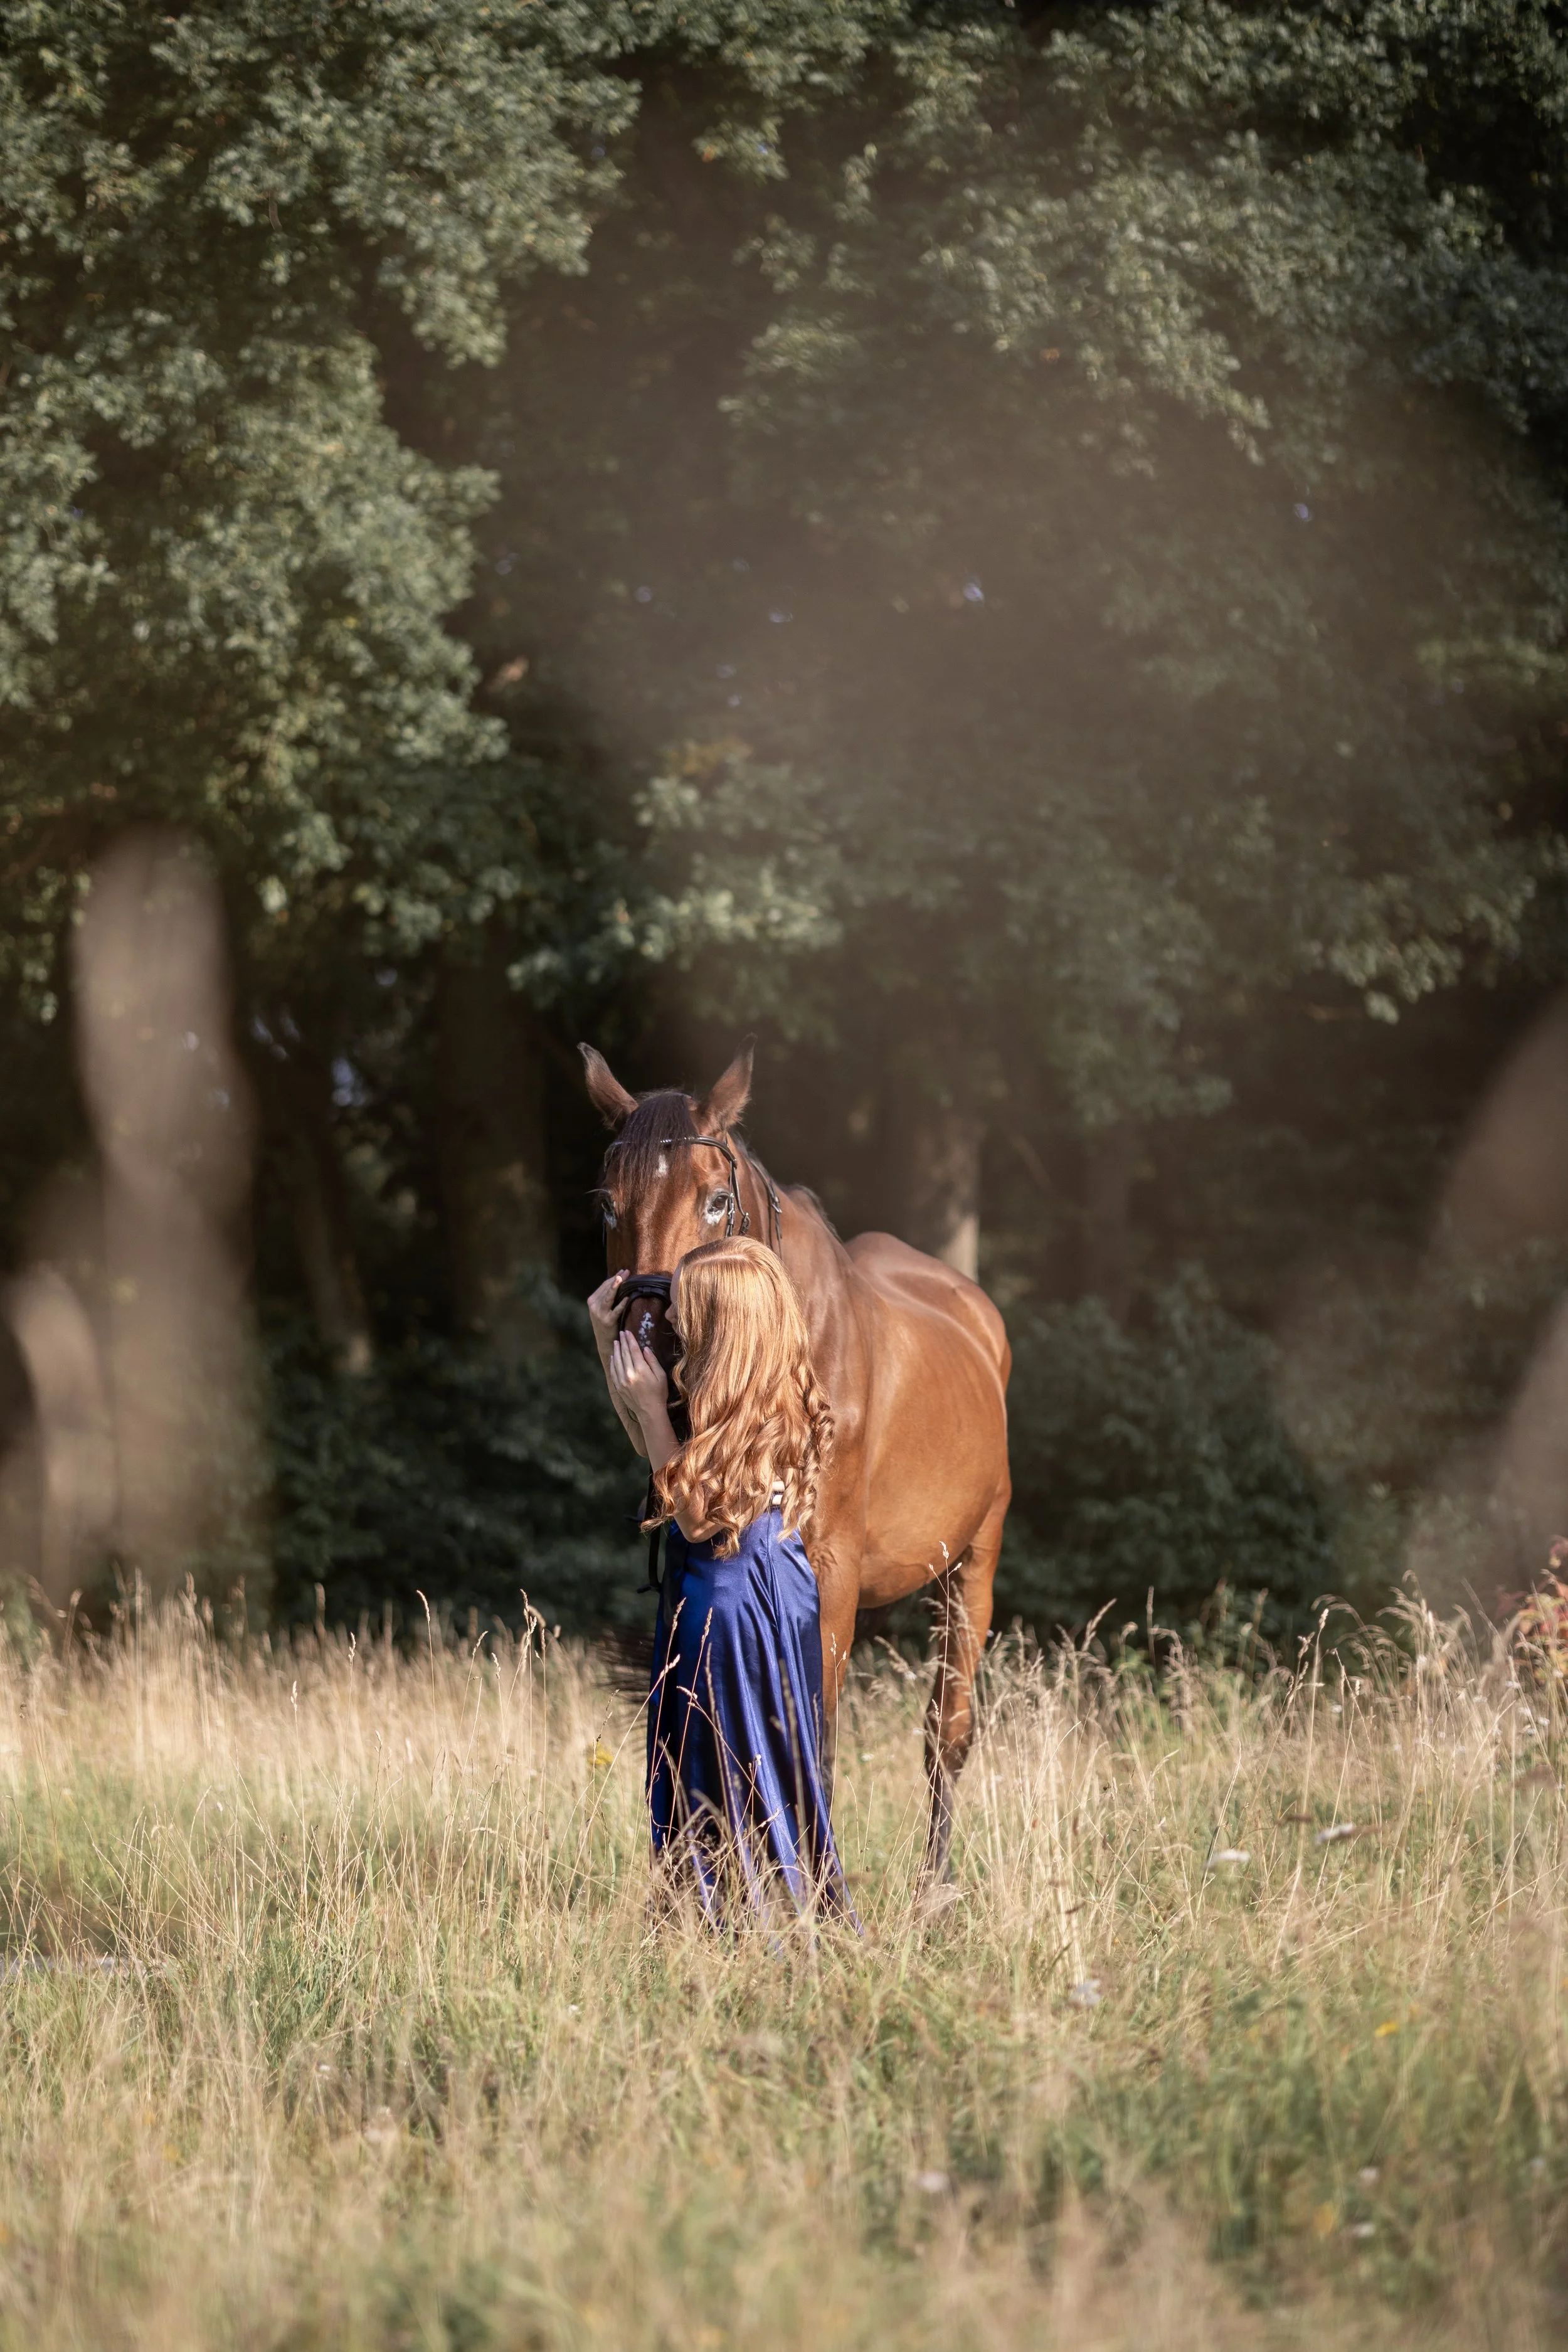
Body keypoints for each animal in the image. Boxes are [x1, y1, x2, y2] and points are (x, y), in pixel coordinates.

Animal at [582, 1040, 1012, 1879]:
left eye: (717, 1201)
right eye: (609, 1206)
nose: (647, 1342)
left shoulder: (831, 1568)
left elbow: (817, 1748)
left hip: (970, 1566)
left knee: (944, 1739)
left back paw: (934, 1892)